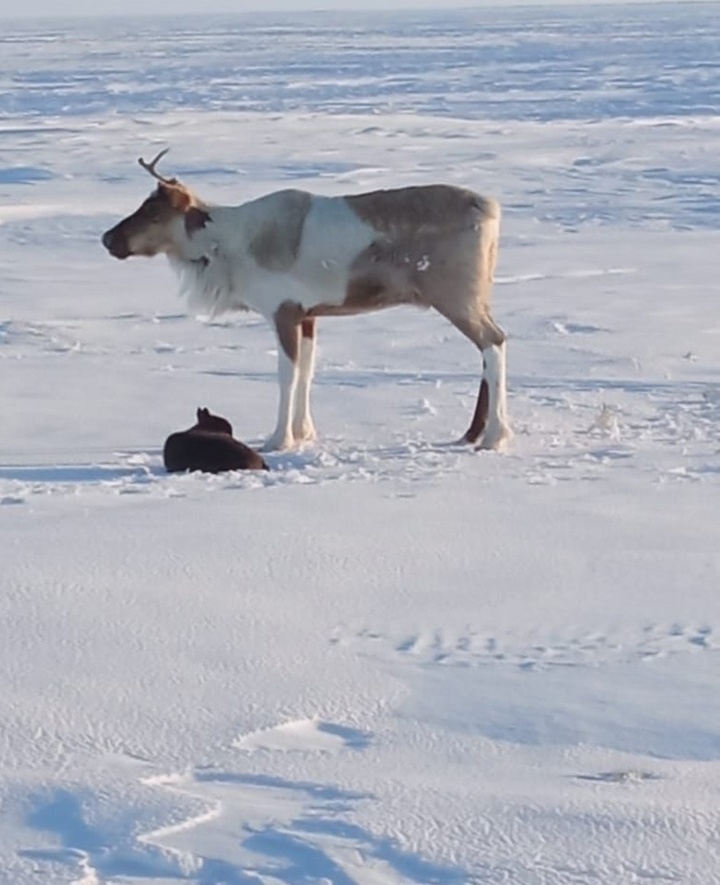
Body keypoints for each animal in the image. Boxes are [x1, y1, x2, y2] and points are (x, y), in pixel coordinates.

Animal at [102, 149, 512, 452]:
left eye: (153, 211)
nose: (108, 239)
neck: (223, 249)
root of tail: (493, 209)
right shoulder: (310, 315)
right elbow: (308, 372)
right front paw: (304, 433)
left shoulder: (282, 310)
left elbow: (287, 374)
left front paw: (277, 440)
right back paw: (475, 433)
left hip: (457, 296)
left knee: (494, 342)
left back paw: (494, 436)